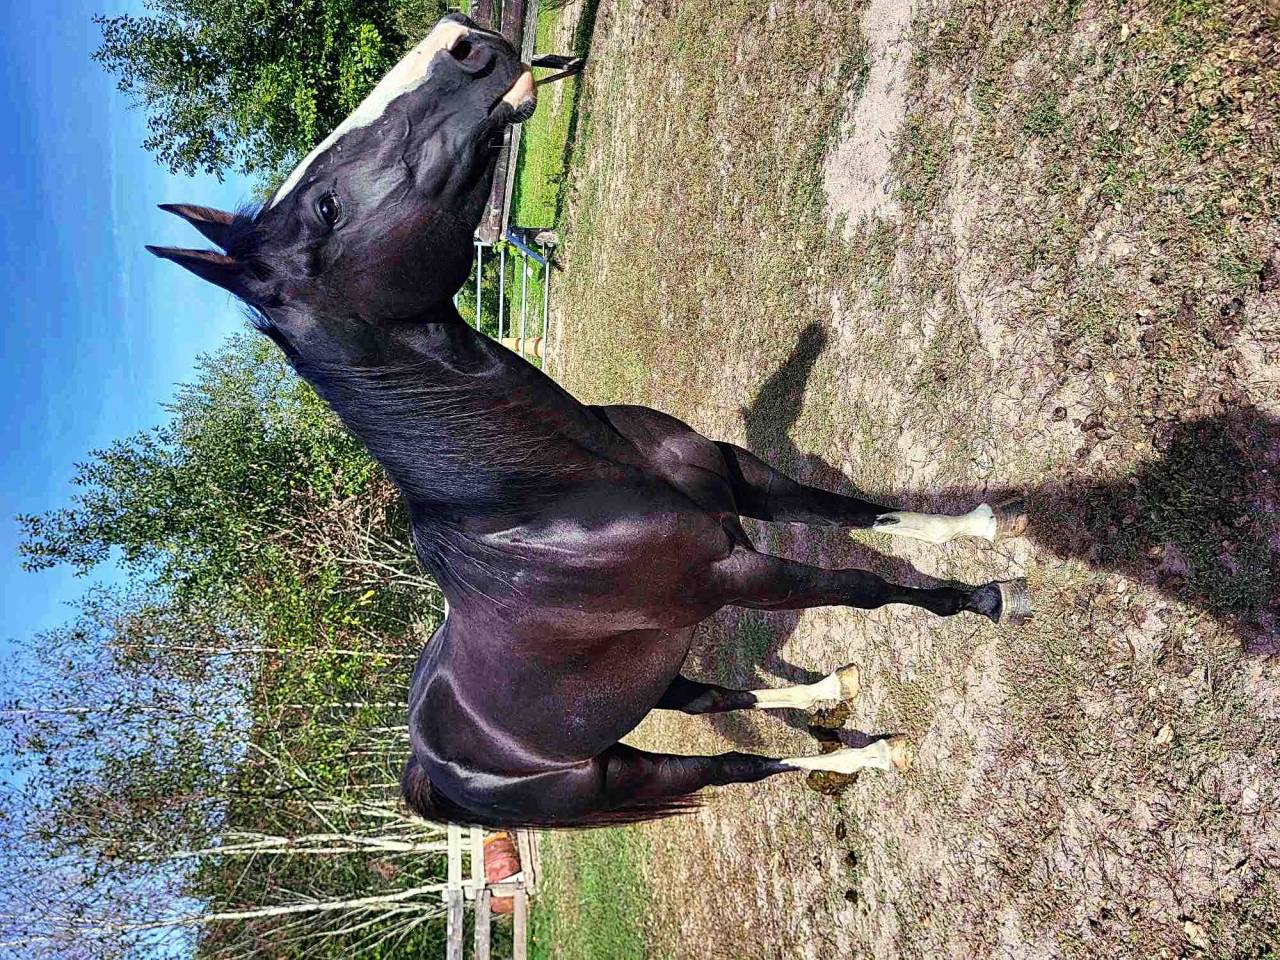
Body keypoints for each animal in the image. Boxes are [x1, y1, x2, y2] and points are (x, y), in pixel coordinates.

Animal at [148, 13, 1032, 828]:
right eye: (328, 208)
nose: (462, 39)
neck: (555, 494)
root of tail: (432, 767)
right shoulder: (732, 572)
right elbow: (863, 586)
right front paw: (990, 601)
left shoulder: (742, 479)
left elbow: (859, 511)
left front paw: (988, 526)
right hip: (617, 773)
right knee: (738, 766)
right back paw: (870, 756)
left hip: (651, 682)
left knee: (716, 701)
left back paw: (829, 694)